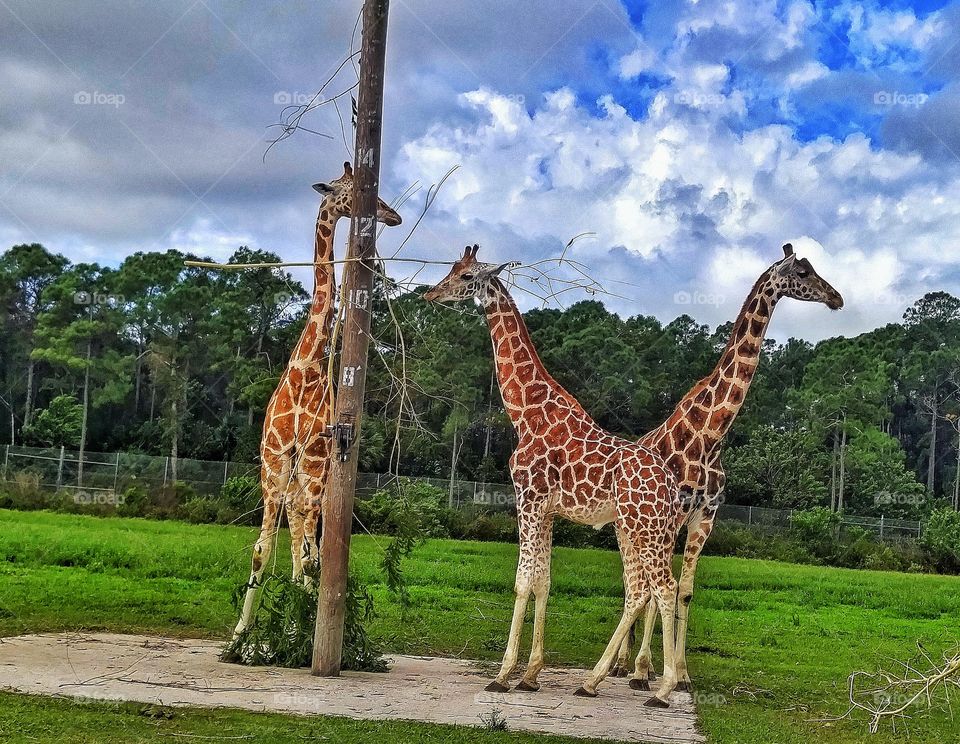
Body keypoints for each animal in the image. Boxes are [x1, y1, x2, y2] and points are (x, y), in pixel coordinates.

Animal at [233, 162, 401, 638]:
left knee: (310, 552)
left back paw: (301, 625)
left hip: (316, 482)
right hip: (294, 481)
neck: (306, 368)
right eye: (349, 189)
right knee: (298, 547)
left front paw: (292, 632)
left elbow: (309, 560)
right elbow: (261, 549)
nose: (392, 215)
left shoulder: (311, 465)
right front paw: (241, 638)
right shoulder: (274, 461)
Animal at [424, 245, 684, 706]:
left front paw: (503, 673)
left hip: (645, 529)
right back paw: (594, 680)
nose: (431, 294)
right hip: (641, 529)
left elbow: (522, 581)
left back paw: (662, 688)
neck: (525, 413)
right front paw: (531, 674)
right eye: (451, 269)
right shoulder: (545, 510)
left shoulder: (527, 499)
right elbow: (543, 581)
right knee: (641, 590)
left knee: (664, 588)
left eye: (466, 276)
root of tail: (672, 488)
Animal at [611, 243, 844, 691]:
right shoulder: (674, 515)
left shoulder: (705, 516)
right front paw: (645, 669)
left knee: (642, 582)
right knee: (635, 580)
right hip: (629, 527)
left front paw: (680, 674)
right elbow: (658, 587)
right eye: (803, 272)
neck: (710, 435)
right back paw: (625, 664)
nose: (837, 298)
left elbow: (683, 590)